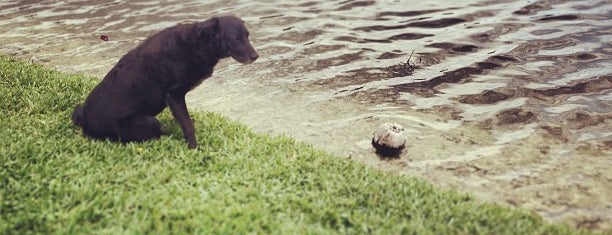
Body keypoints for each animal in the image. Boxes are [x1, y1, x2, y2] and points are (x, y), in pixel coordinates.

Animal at [72, 15, 258, 149]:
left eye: (248, 36)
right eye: (235, 39)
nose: (256, 56)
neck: (198, 45)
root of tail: (86, 125)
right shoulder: (174, 95)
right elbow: (188, 126)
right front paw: (194, 148)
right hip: (148, 121)